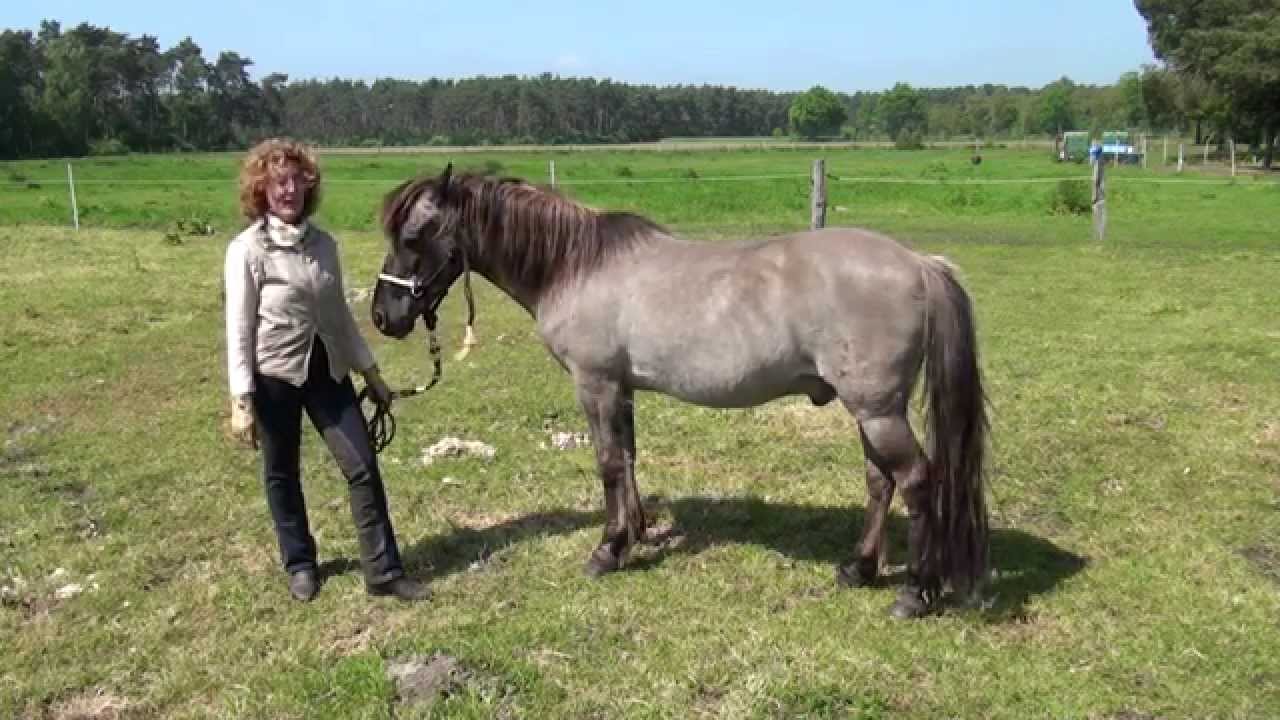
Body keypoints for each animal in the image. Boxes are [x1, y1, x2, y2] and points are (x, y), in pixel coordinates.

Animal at [370, 164, 990, 618]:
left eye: (412, 235)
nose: (382, 316)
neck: (574, 266)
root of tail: (919, 264)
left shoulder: (595, 384)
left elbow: (608, 463)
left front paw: (607, 550)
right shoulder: (621, 388)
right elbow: (628, 457)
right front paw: (637, 535)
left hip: (879, 411)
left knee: (916, 480)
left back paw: (914, 591)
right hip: (871, 411)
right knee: (879, 482)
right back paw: (858, 569)